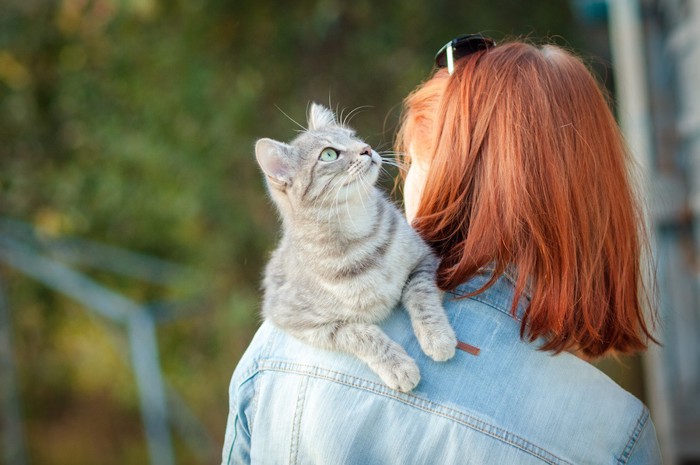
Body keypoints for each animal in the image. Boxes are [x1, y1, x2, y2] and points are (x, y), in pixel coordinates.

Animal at [254, 102, 456, 392]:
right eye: (329, 154)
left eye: (352, 136)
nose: (366, 148)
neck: (363, 238)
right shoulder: (295, 319)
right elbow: (359, 333)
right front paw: (398, 366)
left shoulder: (424, 259)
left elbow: (421, 296)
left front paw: (436, 336)